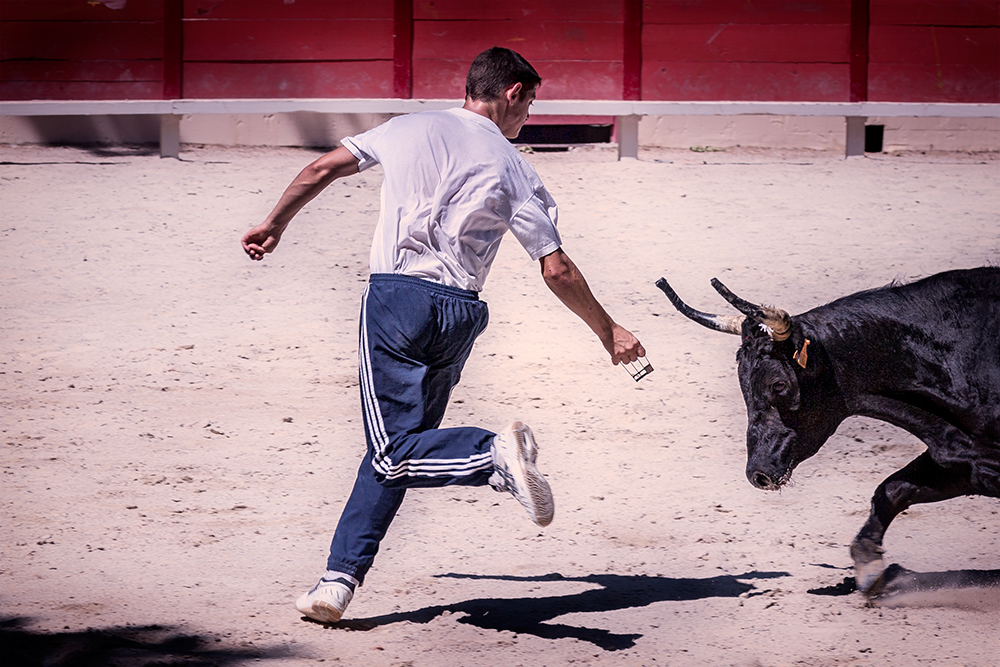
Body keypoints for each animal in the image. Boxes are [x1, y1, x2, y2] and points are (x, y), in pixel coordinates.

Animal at [656, 266, 1000, 596]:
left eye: (778, 385)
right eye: (743, 385)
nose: (759, 474)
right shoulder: (960, 457)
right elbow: (892, 490)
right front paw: (870, 571)